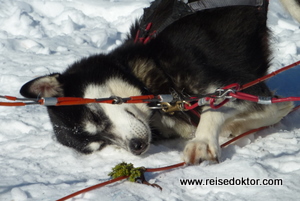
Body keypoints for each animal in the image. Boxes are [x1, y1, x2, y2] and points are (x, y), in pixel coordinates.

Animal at [19, 0, 296, 165]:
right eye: (100, 144)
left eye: (96, 115)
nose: (137, 147)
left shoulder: (239, 85)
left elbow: (214, 108)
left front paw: (203, 141)